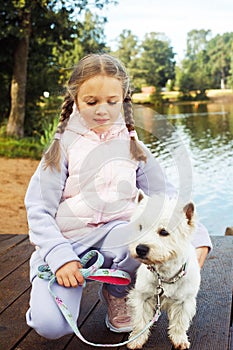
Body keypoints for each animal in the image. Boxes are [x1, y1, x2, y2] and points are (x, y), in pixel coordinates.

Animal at [126, 193, 201, 348]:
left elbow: (179, 323)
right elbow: (140, 320)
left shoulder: (184, 301)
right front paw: (136, 339)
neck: (164, 275)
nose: (140, 249)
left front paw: (179, 340)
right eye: (140, 227)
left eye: (164, 232)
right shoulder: (142, 296)